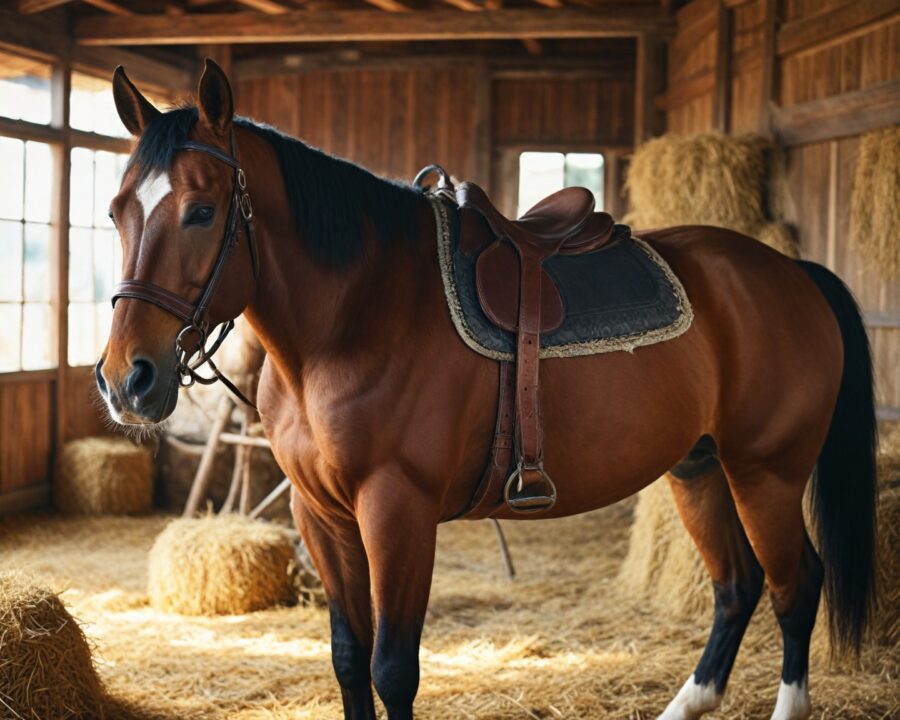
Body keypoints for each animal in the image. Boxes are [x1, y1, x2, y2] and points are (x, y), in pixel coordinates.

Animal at [96, 59, 877, 720]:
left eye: (201, 211)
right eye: (115, 211)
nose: (127, 379)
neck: (357, 317)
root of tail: (795, 273)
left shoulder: (398, 512)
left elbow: (392, 671)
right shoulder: (319, 514)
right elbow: (348, 660)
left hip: (765, 473)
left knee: (795, 585)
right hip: (700, 469)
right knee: (736, 586)